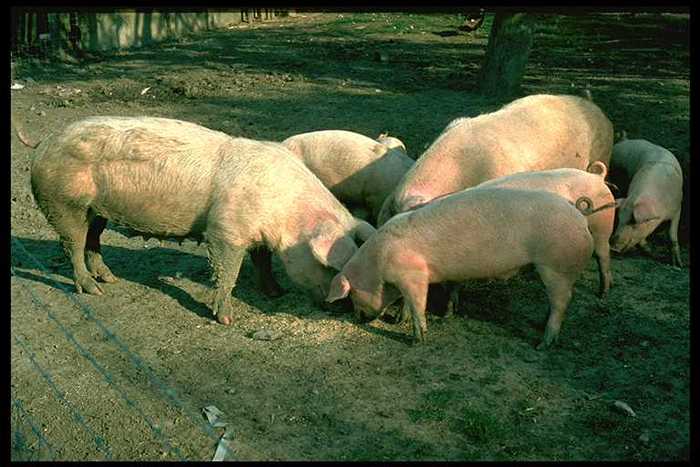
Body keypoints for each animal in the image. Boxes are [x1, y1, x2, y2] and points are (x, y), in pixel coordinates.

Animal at [26, 116, 375, 325]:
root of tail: (43, 143)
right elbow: (227, 273)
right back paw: (94, 290)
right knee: (72, 245)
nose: (345, 308)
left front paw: (275, 293)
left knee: (92, 239)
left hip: (97, 210)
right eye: (329, 267)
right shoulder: (224, 231)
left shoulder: (256, 234)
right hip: (64, 203)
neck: (283, 211)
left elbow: (263, 262)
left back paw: (109, 279)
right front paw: (226, 320)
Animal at [326, 186, 595, 349]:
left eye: (351, 295)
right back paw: (539, 325)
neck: (377, 265)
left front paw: (417, 340)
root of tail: (579, 216)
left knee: (562, 301)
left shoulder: (413, 275)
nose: (358, 319)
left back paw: (542, 343)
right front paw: (402, 319)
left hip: (556, 266)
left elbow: (417, 303)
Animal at [609, 137, 684, 267]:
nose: (613, 248)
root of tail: (623, 141)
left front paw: (677, 264)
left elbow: (672, 234)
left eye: (633, 221)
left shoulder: (677, 207)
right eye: (620, 219)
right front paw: (650, 251)